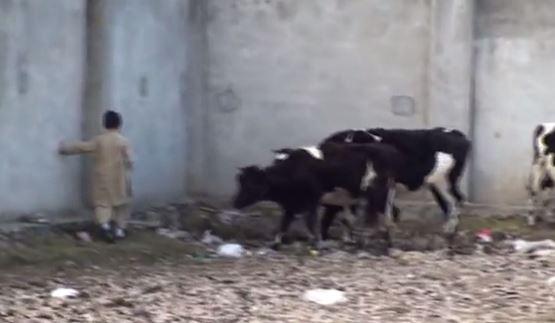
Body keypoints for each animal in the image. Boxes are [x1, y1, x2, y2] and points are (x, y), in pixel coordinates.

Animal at [232, 143, 406, 249]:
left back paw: (379, 241)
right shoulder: (292, 204)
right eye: (241, 182)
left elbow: (311, 222)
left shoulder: (312, 199)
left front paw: (317, 242)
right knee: (388, 215)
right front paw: (275, 243)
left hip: (377, 194)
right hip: (381, 195)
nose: (235, 202)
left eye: (251, 184)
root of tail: (390, 151)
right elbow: (284, 223)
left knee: (387, 215)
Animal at [320, 126, 472, 238]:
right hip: (437, 183)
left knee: (455, 200)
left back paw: (449, 229)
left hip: (444, 181)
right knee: (450, 202)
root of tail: (455, 133)